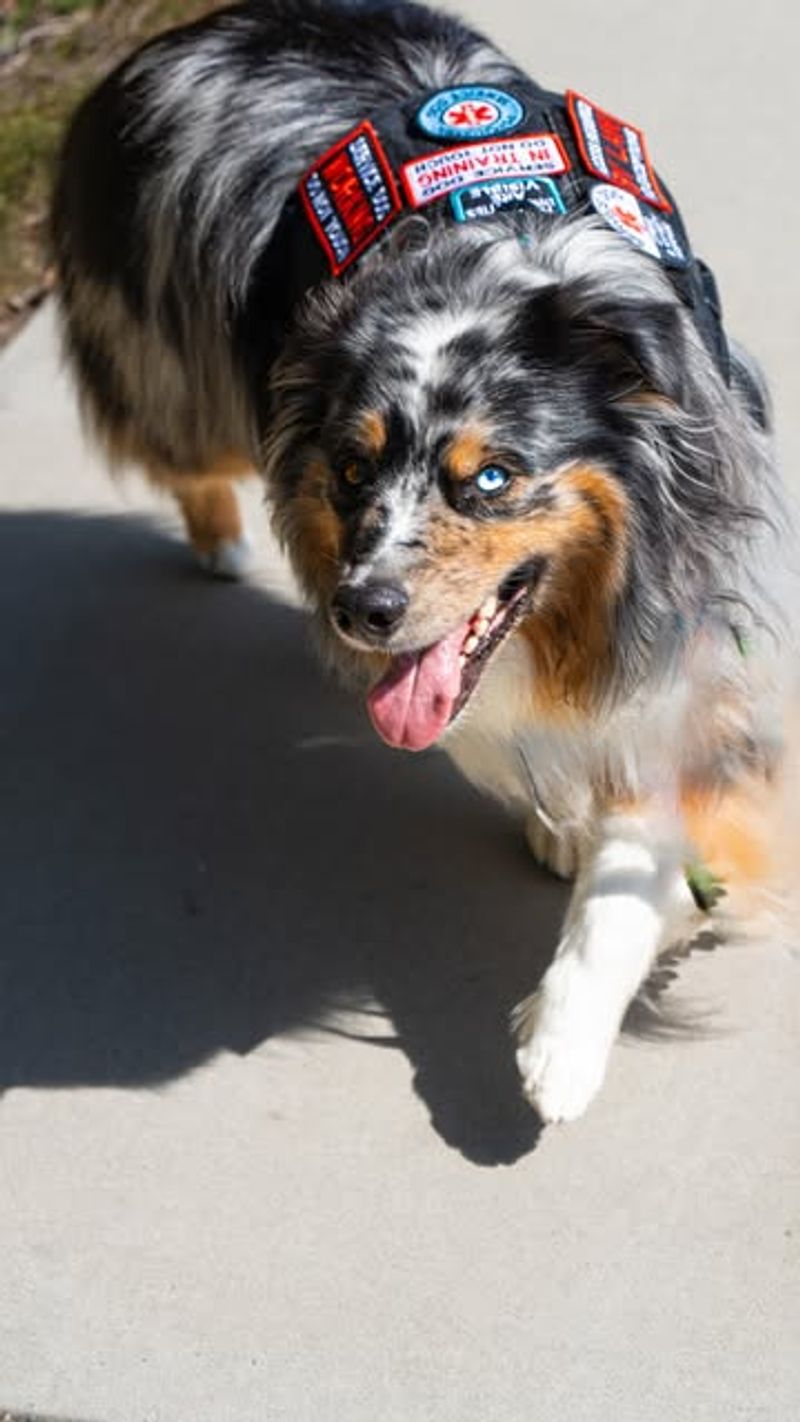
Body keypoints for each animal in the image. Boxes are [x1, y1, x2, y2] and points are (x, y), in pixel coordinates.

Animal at [51, 0, 795, 1126]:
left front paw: (567, 1038)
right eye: (353, 469)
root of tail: (213, 23)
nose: (362, 610)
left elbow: (640, 841)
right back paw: (218, 536)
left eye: (489, 478)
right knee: (176, 442)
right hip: (183, 366)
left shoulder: (687, 625)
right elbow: (498, 736)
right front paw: (555, 822)